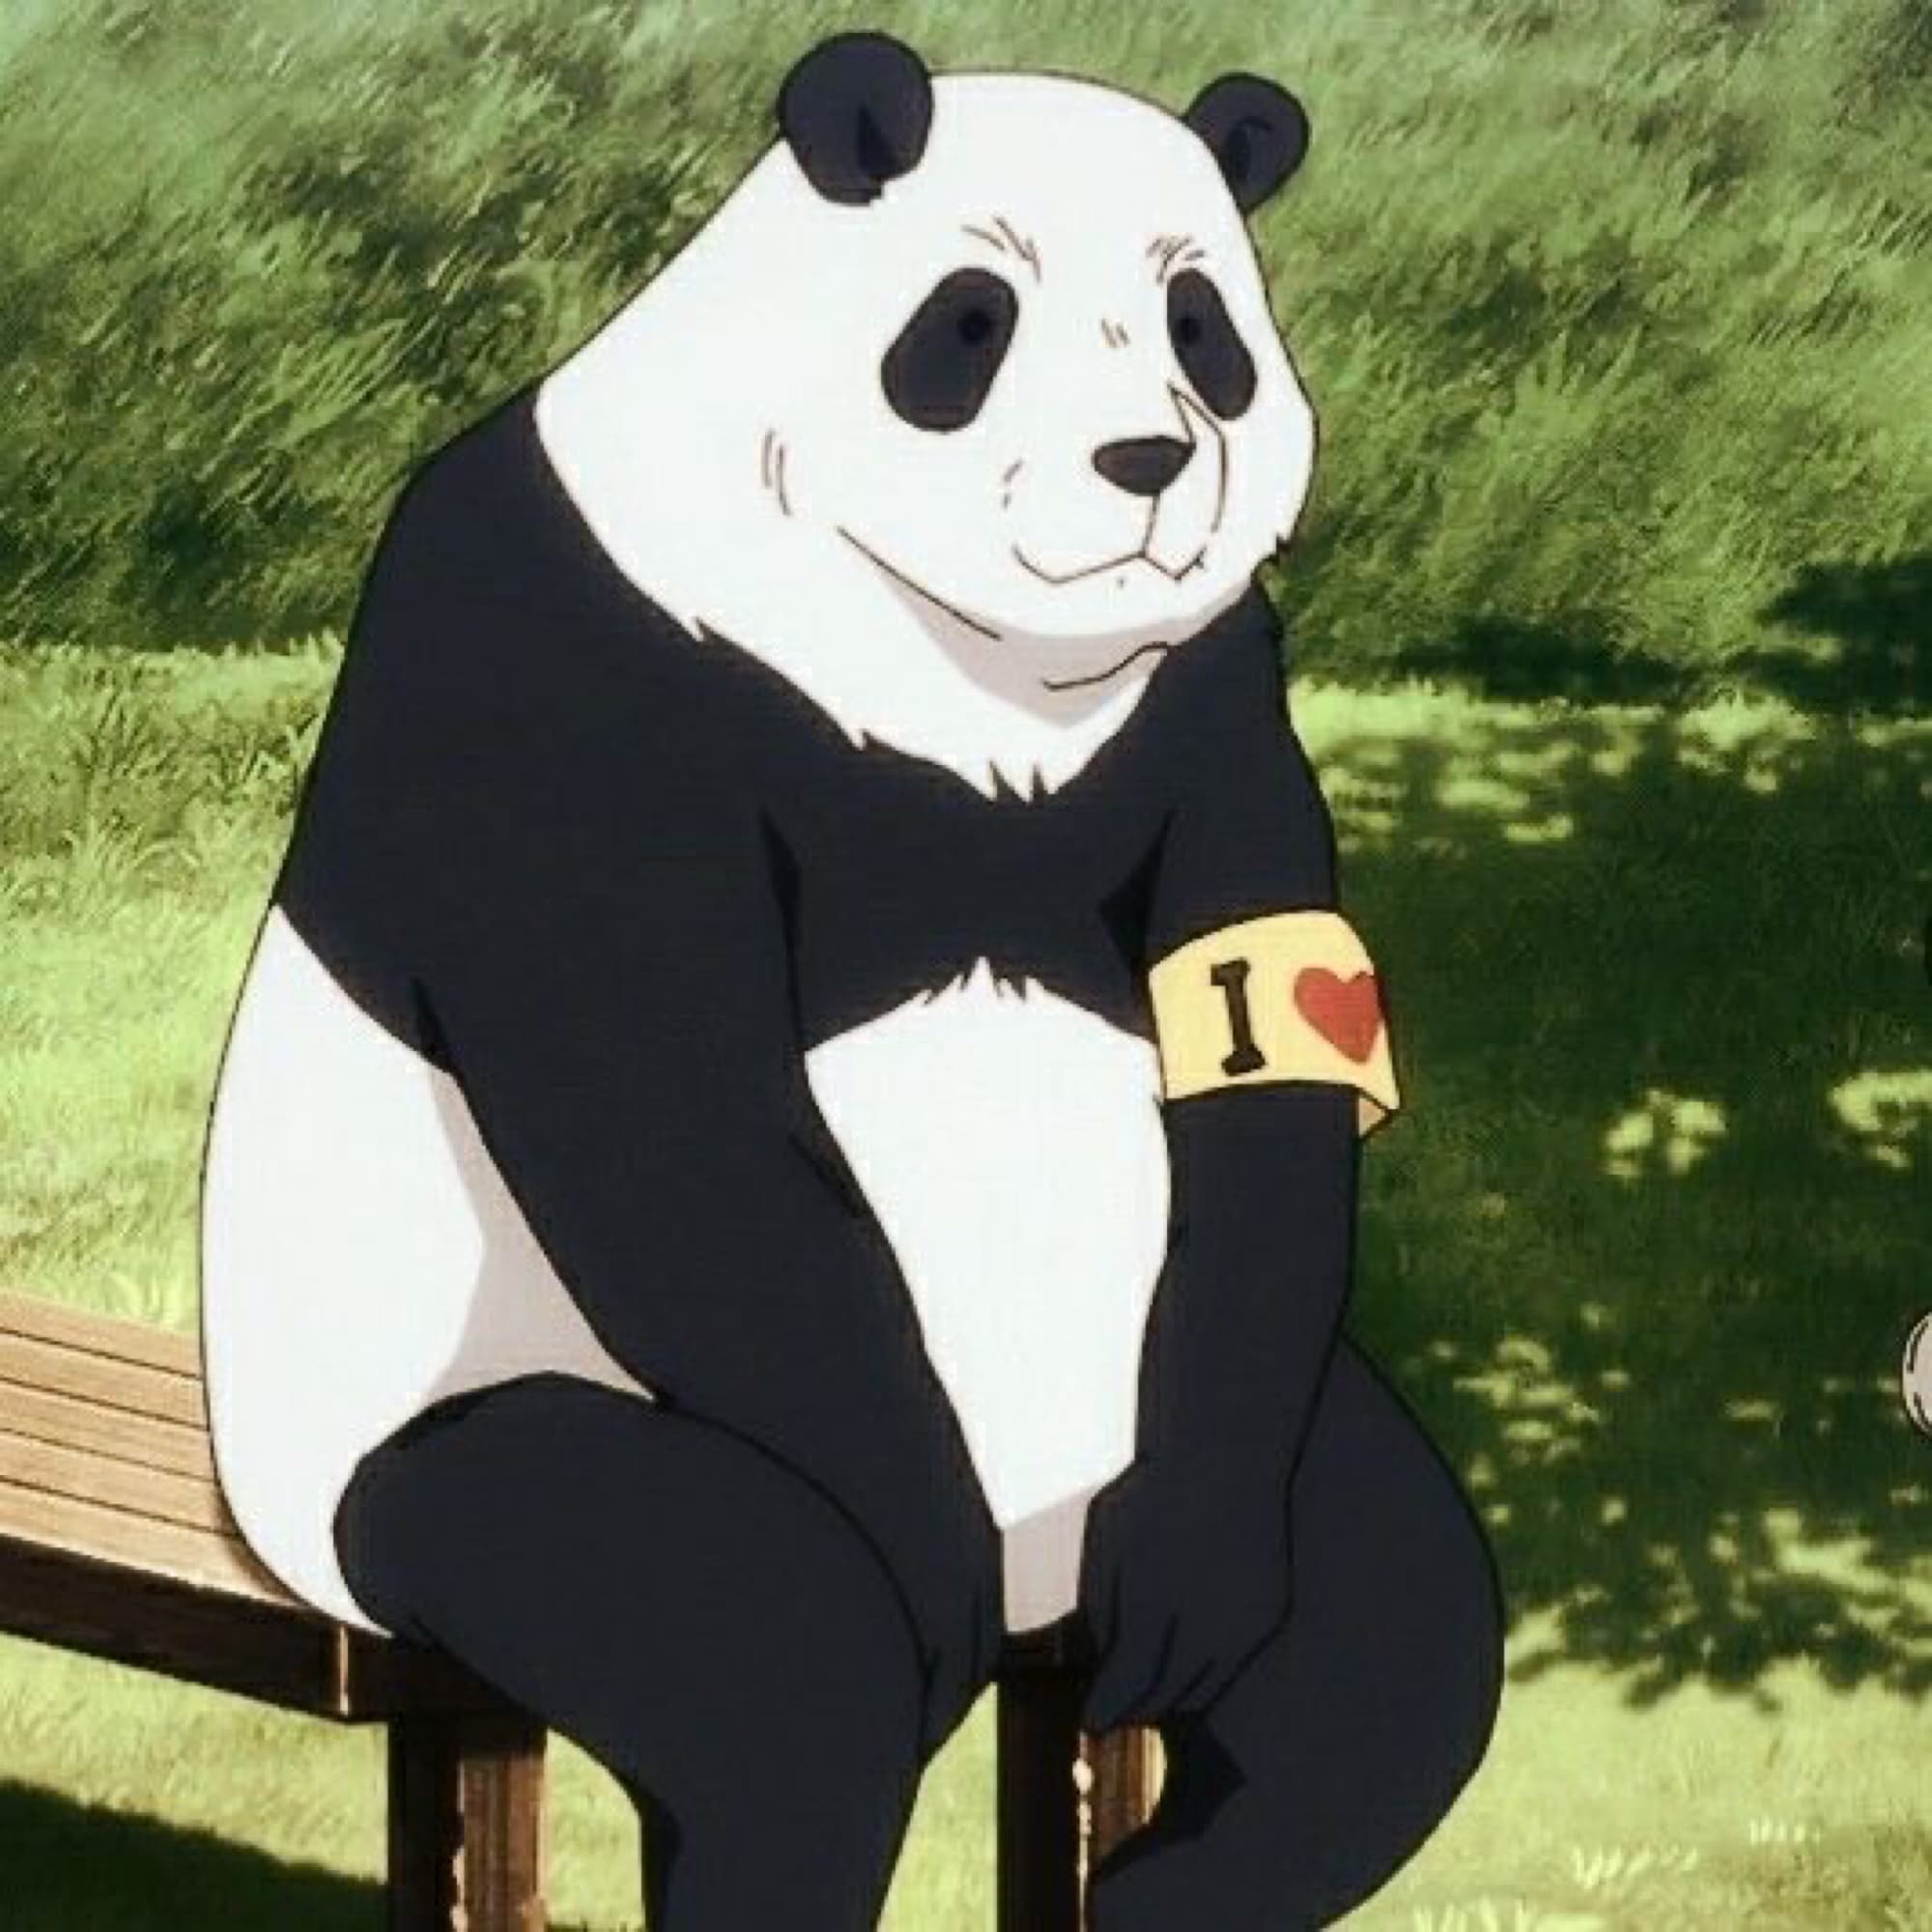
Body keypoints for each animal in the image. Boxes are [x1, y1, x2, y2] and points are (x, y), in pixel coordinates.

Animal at [201, 32, 1501, 1929]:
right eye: (970, 322)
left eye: (1203, 329)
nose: (1146, 458)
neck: (961, 663)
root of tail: (1053, 1565)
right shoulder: (584, 648)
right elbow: (666, 1112)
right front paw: (922, 1572)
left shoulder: (1207, 691)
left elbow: (1260, 1078)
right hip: (439, 1435)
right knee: (770, 1660)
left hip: (1226, 1432)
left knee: (1387, 1643)